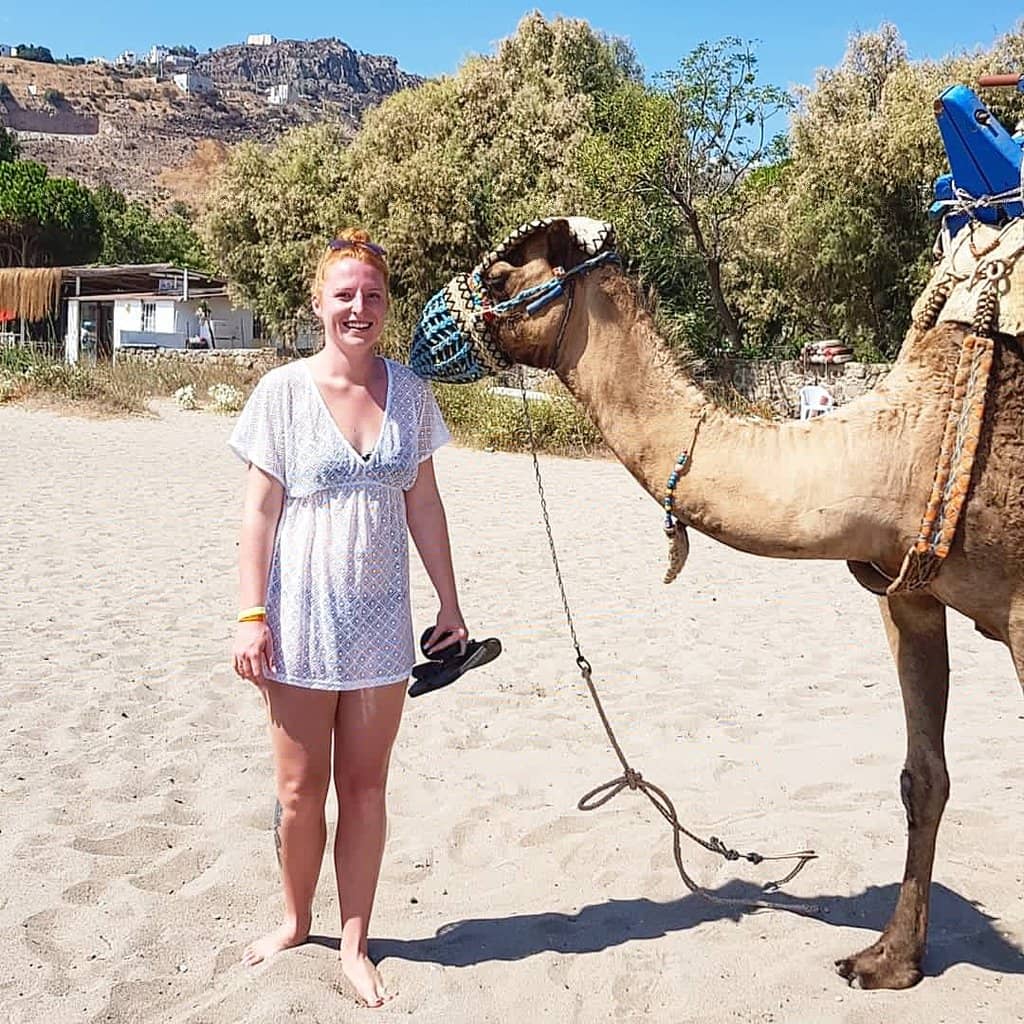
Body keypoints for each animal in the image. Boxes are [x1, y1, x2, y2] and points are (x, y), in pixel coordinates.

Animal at [414, 217, 1024, 990]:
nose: (418, 329)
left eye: (497, 277)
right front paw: (887, 960)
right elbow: (923, 777)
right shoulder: (908, 596)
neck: (914, 441)